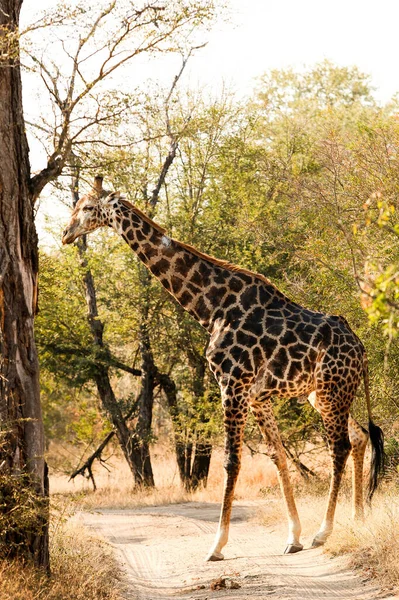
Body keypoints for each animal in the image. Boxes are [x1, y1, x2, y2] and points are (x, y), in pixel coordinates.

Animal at [61, 176, 384, 560]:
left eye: (86, 207)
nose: (65, 233)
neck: (210, 308)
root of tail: (362, 349)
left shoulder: (232, 384)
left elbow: (231, 461)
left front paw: (217, 544)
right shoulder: (258, 395)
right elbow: (278, 457)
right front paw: (293, 537)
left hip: (332, 390)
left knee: (340, 446)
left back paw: (325, 532)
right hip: (323, 395)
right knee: (359, 435)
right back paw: (358, 519)